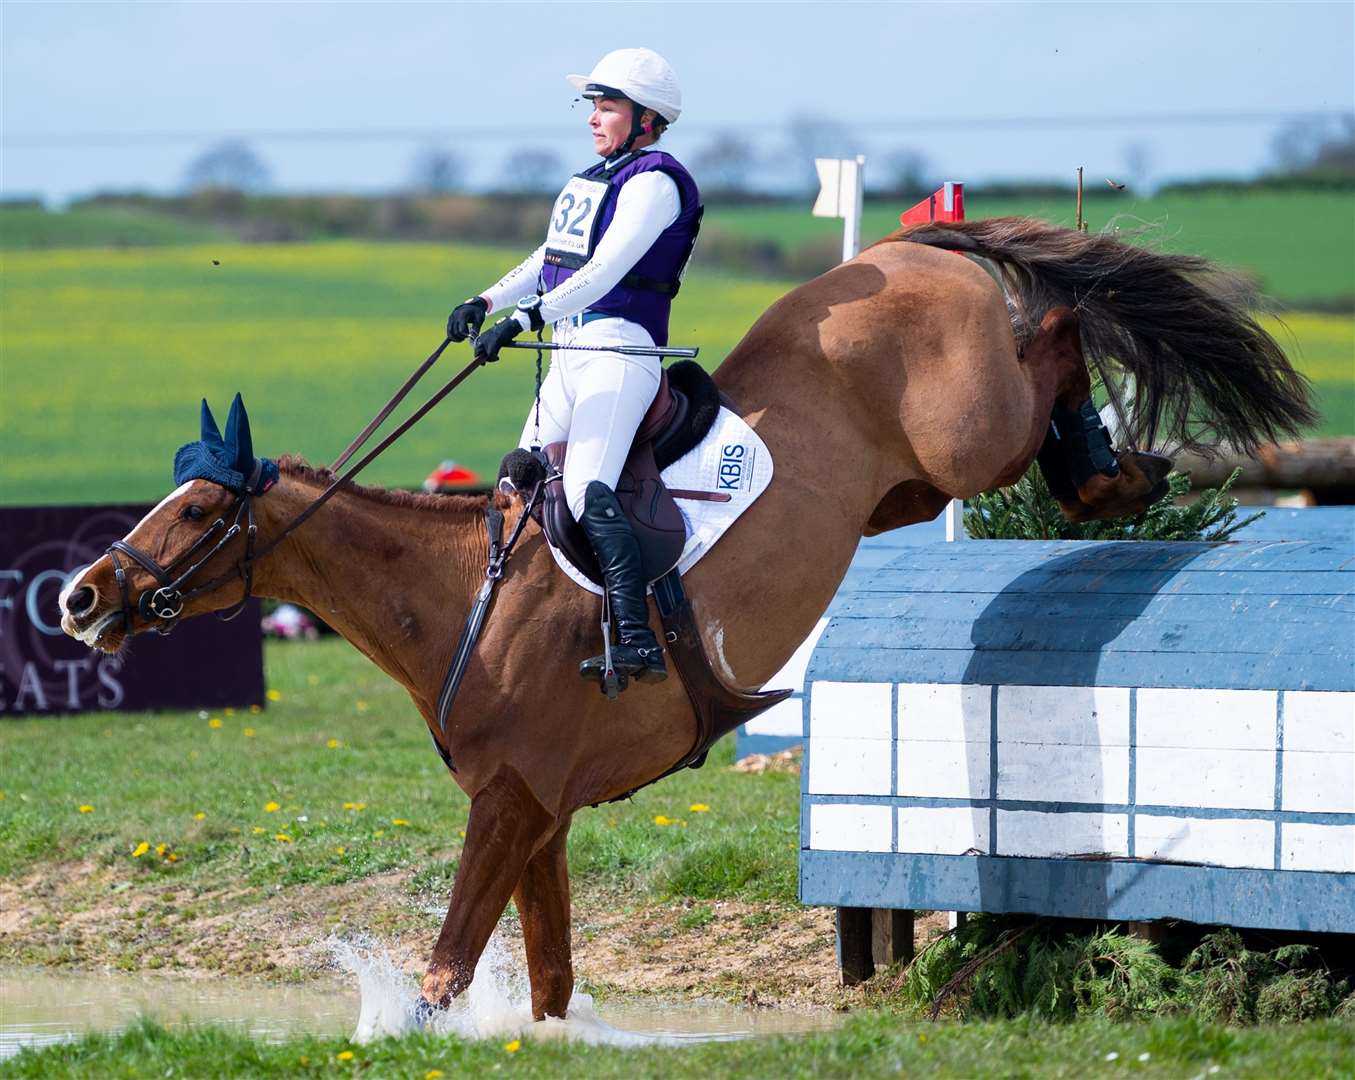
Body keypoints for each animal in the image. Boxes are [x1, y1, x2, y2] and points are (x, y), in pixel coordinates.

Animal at [60, 220, 1311, 1019]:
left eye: (201, 508)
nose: (82, 598)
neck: (457, 600)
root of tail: (903, 249)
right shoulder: (540, 815)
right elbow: (548, 984)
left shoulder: (510, 804)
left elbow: (446, 973)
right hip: (908, 490)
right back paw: (1106, 475)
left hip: (967, 433)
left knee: (1053, 328)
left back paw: (1109, 469)